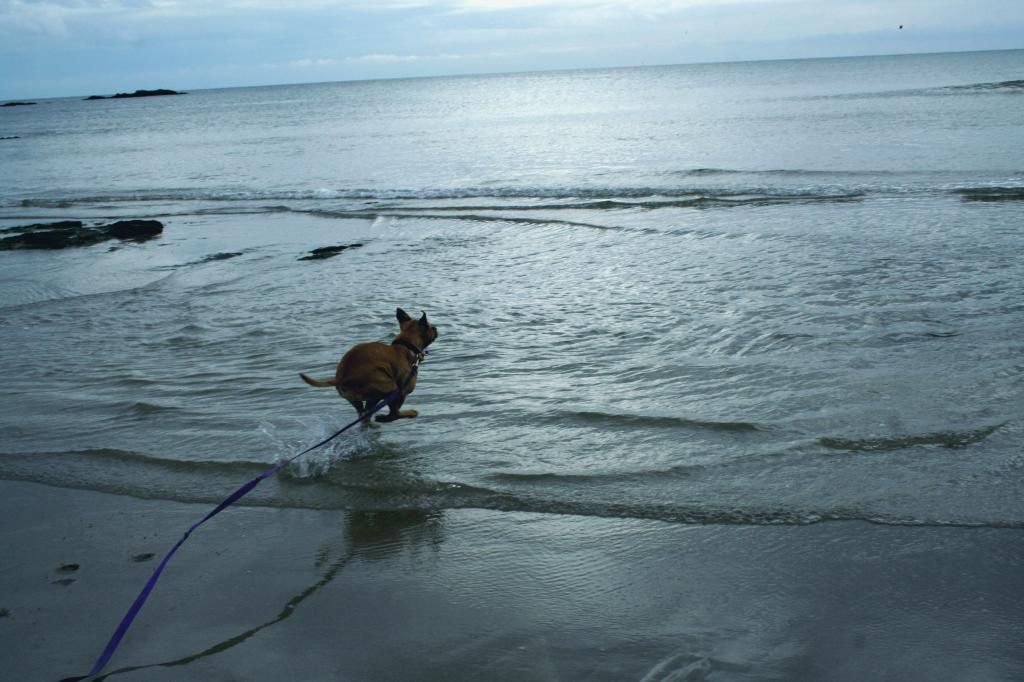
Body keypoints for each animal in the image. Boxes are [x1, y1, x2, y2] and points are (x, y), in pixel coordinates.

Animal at [299, 307, 436, 419]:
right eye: (432, 328)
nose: (436, 329)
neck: (406, 344)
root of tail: (340, 378)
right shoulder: (402, 391)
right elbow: (394, 411)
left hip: (364, 398)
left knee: (365, 412)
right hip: (390, 387)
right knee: (393, 414)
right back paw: (402, 415)